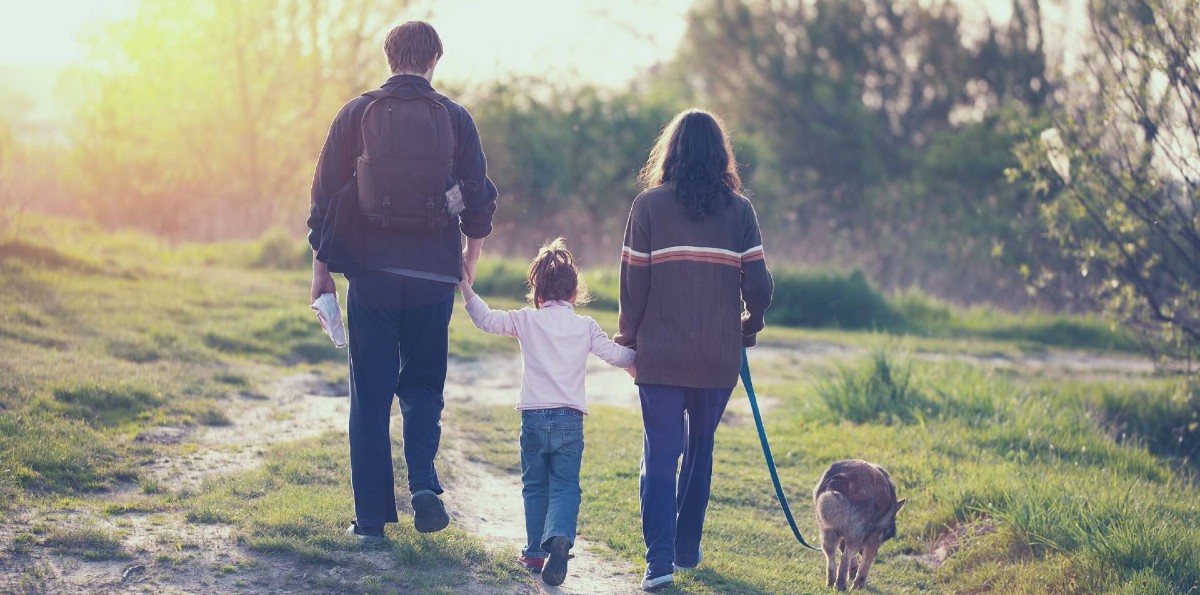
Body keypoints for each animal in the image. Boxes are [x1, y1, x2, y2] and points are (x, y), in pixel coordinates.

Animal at [811, 460, 902, 590]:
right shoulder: (873, 539)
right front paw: (859, 585)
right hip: (855, 538)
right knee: (844, 558)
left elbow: (845, 551)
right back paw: (841, 586)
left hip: (827, 534)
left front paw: (853, 572)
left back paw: (831, 582)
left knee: (831, 559)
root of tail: (837, 479)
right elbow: (865, 564)